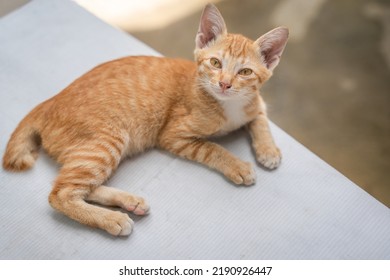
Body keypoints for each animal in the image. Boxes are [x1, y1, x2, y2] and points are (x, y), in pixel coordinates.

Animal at [2, 4, 286, 236]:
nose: (225, 84)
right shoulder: (173, 135)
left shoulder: (255, 103)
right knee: (60, 193)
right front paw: (237, 165)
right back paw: (112, 219)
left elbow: (260, 119)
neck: (230, 105)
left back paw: (129, 202)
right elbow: (213, 148)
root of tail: (48, 102)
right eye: (215, 63)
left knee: (78, 185)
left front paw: (268, 150)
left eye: (245, 72)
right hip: (108, 140)